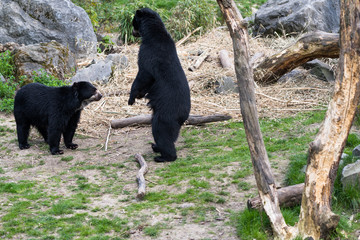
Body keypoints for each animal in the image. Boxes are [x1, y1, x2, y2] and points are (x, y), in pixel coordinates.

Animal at [129, 7, 191, 162]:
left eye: (133, 22)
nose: (132, 32)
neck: (152, 33)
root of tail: (184, 115)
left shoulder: (148, 53)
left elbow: (143, 75)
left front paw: (131, 98)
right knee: (171, 135)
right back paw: (156, 147)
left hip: (165, 114)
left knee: (161, 131)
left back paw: (164, 156)